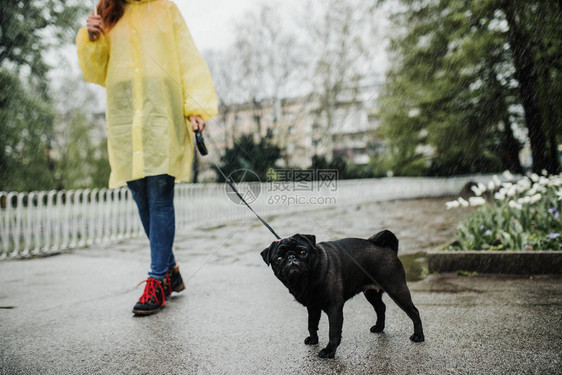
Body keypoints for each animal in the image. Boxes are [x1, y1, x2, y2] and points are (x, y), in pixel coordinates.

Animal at [260, 231, 422, 360]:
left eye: (302, 252)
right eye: (279, 259)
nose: (291, 258)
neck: (305, 280)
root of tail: (387, 248)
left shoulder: (334, 308)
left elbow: (333, 332)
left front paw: (329, 351)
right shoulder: (312, 307)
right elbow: (311, 324)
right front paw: (313, 339)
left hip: (396, 289)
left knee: (414, 312)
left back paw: (419, 336)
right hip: (371, 293)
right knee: (381, 308)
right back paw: (379, 327)